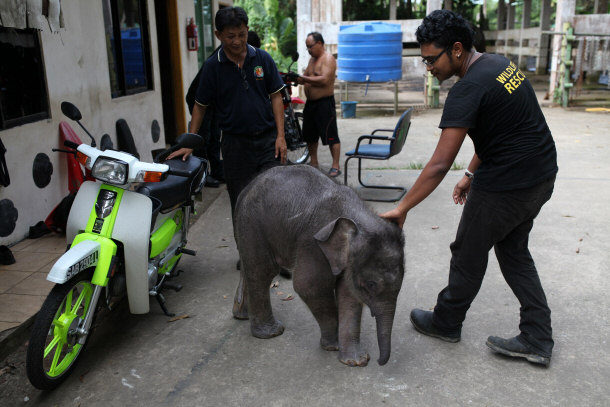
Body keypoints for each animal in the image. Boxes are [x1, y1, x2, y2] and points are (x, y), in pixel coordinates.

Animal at [233, 166, 404, 366]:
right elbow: (308, 287)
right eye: (371, 285)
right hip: (253, 224)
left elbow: (349, 295)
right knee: (262, 271)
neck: (356, 218)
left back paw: (241, 315)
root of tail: (246, 189)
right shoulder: (312, 243)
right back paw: (271, 332)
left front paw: (355, 361)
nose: (378, 361)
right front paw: (334, 346)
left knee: (249, 267)